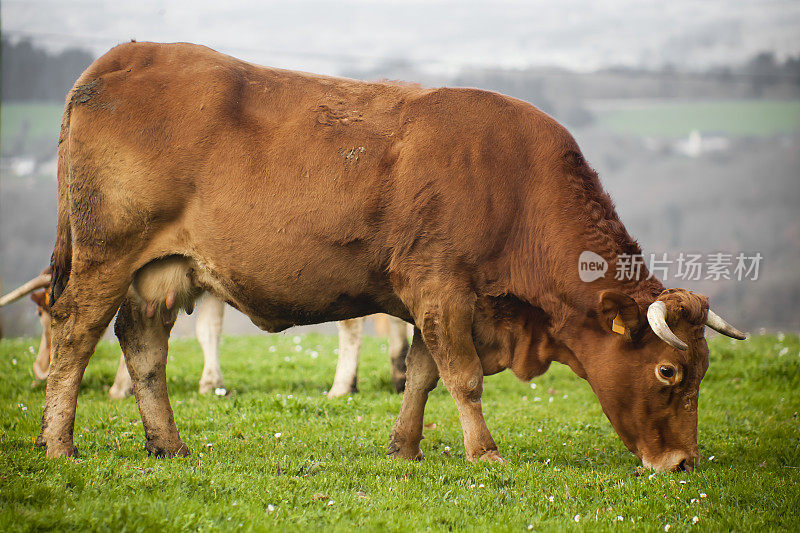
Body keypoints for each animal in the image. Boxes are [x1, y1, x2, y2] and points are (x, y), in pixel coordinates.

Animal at [0, 276, 406, 396]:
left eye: (43, 313)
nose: (41, 369)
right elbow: (208, 330)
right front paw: (213, 382)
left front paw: (120, 387)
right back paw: (396, 373)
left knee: (352, 326)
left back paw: (342, 386)